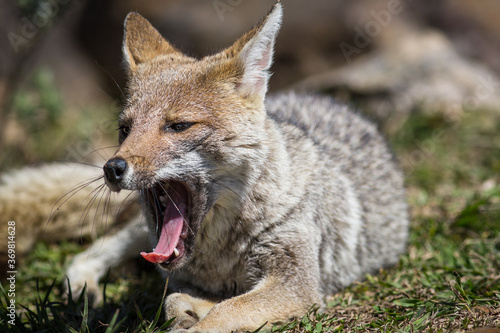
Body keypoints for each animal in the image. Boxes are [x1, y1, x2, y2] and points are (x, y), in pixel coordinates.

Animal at [67, 1, 406, 330]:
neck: (223, 257)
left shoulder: (296, 285)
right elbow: (176, 299)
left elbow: (224, 310)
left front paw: (196, 318)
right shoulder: (184, 280)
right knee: (84, 256)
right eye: (125, 130)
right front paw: (186, 314)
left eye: (179, 126)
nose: (113, 168)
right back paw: (83, 296)